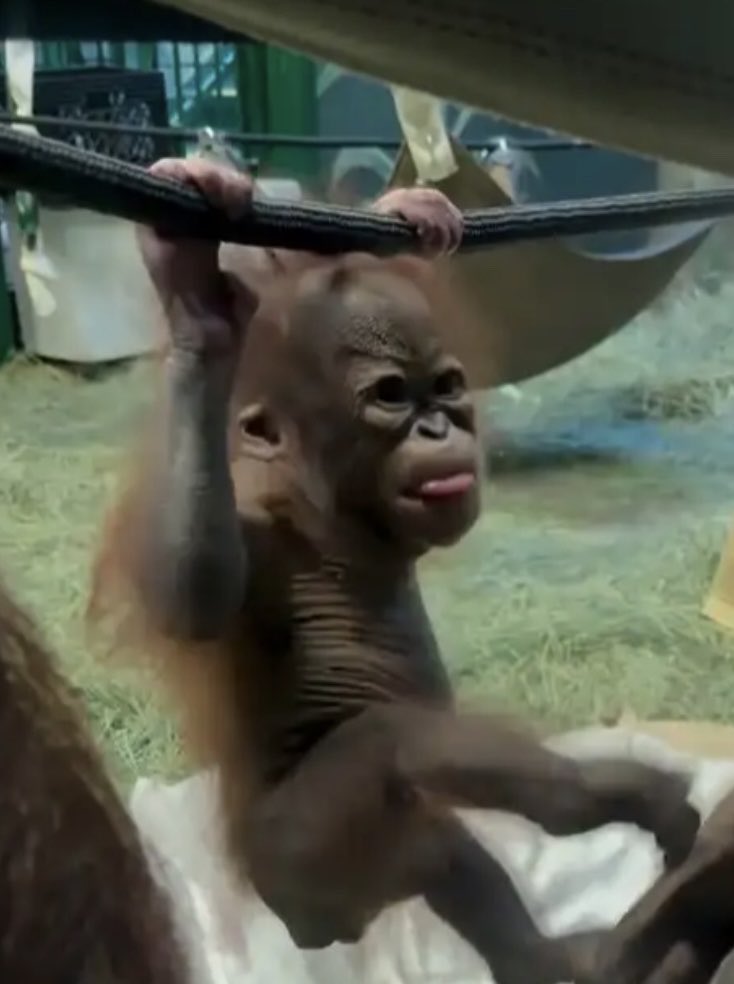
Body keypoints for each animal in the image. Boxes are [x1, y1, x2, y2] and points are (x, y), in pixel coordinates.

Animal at [89, 157, 701, 984]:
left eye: (444, 386)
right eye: (388, 397)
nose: (437, 427)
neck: (343, 526)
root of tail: (311, 925)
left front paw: (415, 209)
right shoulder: (264, 537)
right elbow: (195, 590)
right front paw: (197, 311)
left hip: (374, 860)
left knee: (446, 857)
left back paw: (553, 956)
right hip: (299, 849)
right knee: (394, 741)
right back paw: (608, 799)